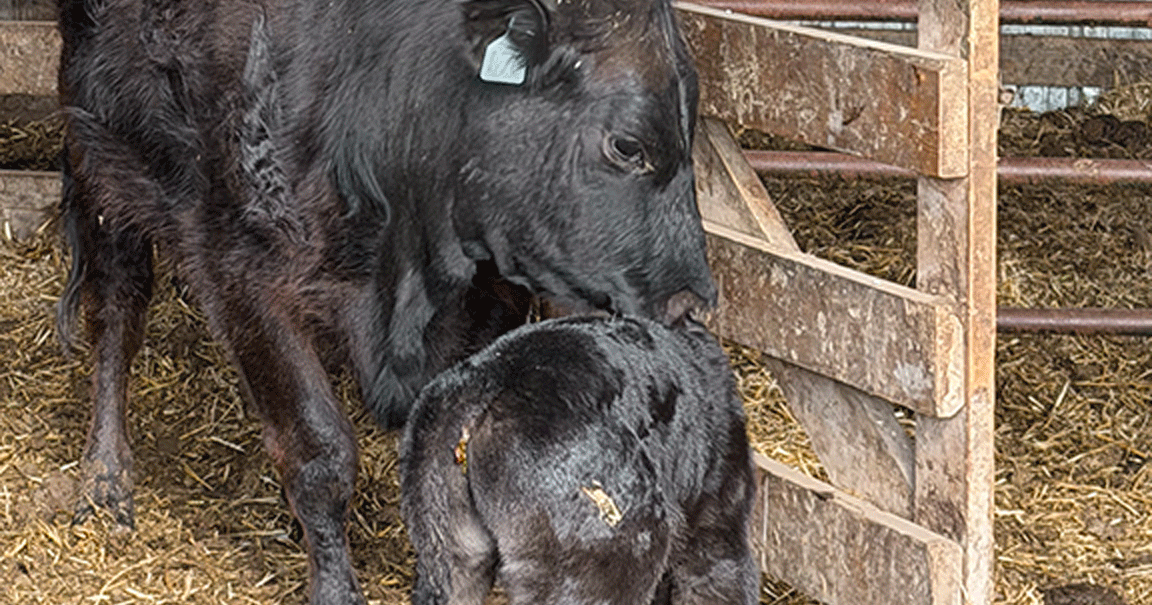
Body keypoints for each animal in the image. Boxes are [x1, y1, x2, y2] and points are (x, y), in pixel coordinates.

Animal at [54, 0, 714, 602]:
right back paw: (105, 482)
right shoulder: (240, 270)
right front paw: (336, 587)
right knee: (117, 313)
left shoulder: (484, 302)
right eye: (627, 145)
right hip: (102, 165)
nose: (691, 301)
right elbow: (319, 451)